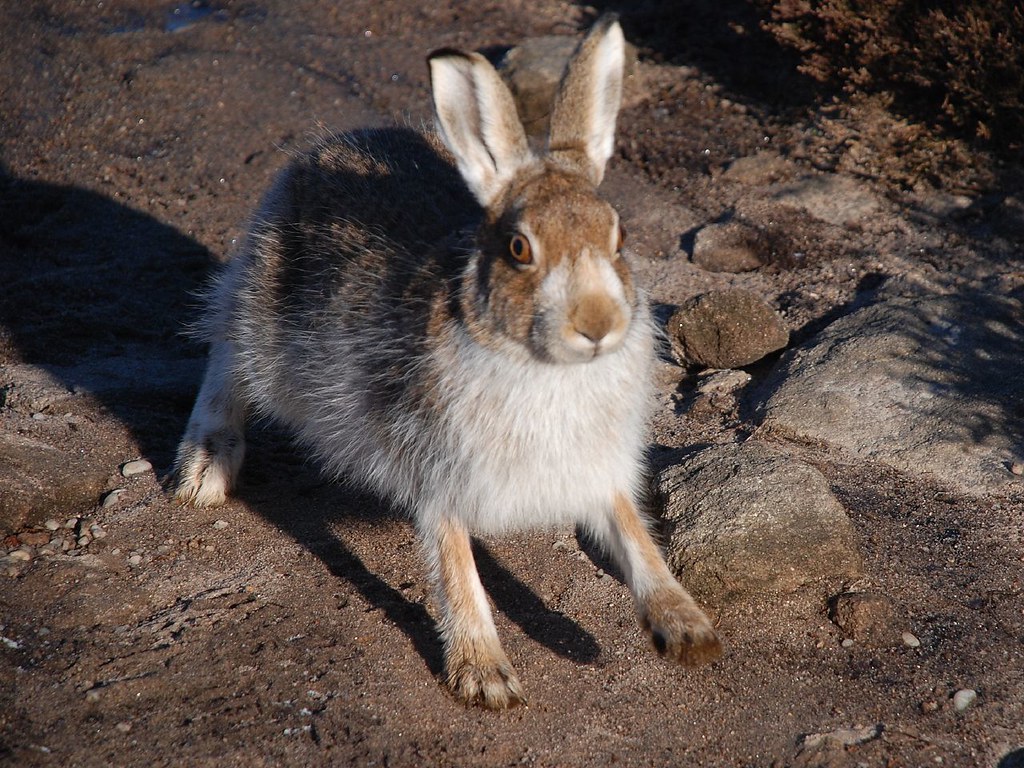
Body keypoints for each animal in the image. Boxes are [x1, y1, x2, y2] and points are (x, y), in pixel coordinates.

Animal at [171, 15, 721, 709]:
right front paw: (484, 675)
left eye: (619, 238)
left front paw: (688, 630)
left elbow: (634, 535)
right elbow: (456, 563)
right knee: (226, 352)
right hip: (266, 325)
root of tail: (324, 149)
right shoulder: (438, 468)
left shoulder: (597, 468)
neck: (545, 367)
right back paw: (206, 468)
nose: (597, 325)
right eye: (519, 249)